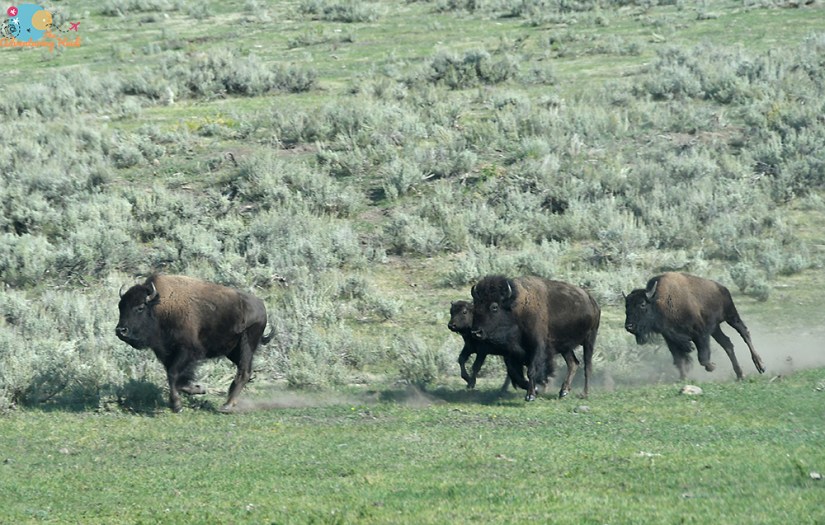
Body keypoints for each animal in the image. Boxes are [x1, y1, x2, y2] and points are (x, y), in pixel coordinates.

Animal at [116, 274, 272, 412]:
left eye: (140, 307)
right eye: (120, 306)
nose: (120, 330)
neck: (162, 307)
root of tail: (261, 306)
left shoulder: (188, 351)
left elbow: (173, 374)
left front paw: (177, 406)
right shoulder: (167, 354)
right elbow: (175, 377)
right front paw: (198, 389)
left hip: (247, 344)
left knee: (244, 371)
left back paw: (227, 406)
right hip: (232, 351)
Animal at [470, 275, 601, 401]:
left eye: (494, 307)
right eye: (475, 305)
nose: (476, 332)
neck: (517, 308)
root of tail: (592, 301)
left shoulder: (537, 347)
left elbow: (531, 371)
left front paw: (530, 395)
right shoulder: (512, 353)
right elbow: (515, 374)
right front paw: (535, 390)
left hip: (589, 340)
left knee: (587, 366)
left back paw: (584, 394)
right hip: (565, 348)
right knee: (573, 363)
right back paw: (563, 391)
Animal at [623, 272, 766, 380]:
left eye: (642, 304)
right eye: (627, 306)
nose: (629, 326)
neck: (661, 301)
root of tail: (722, 287)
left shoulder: (700, 333)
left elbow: (702, 357)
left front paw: (712, 366)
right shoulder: (671, 339)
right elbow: (679, 359)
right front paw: (683, 378)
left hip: (731, 316)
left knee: (744, 333)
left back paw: (760, 365)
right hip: (715, 328)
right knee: (727, 344)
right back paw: (740, 374)